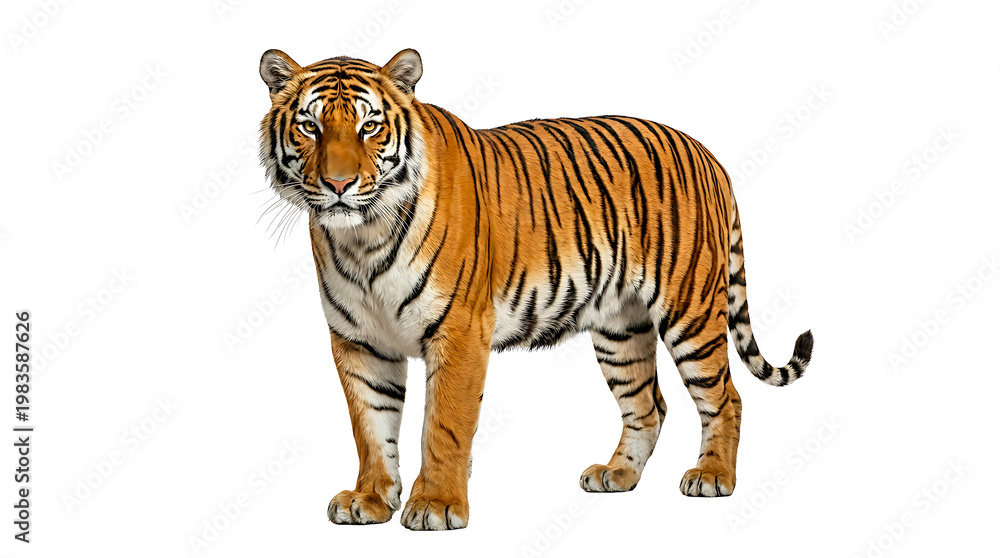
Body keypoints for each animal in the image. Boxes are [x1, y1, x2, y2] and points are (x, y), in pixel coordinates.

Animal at [258, 47, 813, 531]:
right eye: (310, 127)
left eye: (368, 127)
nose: (338, 185)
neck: (362, 239)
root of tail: (706, 152)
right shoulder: (359, 341)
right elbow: (371, 427)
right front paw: (370, 499)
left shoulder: (459, 331)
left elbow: (443, 426)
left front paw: (436, 505)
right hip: (620, 329)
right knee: (648, 404)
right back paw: (618, 474)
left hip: (690, 311)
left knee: (726, 397)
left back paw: (713, 476)